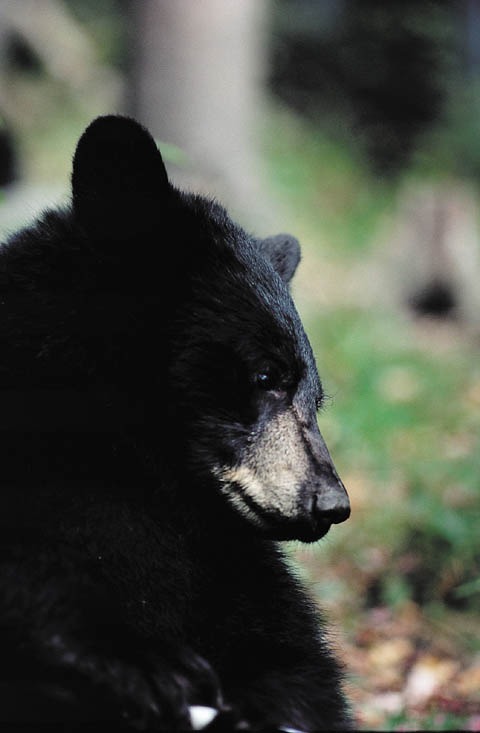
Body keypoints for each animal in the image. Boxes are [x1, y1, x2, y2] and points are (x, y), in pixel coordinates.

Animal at [0, 117, 352, 728]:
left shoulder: (223, 561)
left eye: (316, 398)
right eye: (267, 375)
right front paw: (151, 668)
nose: (331, 503)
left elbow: (294, 658)